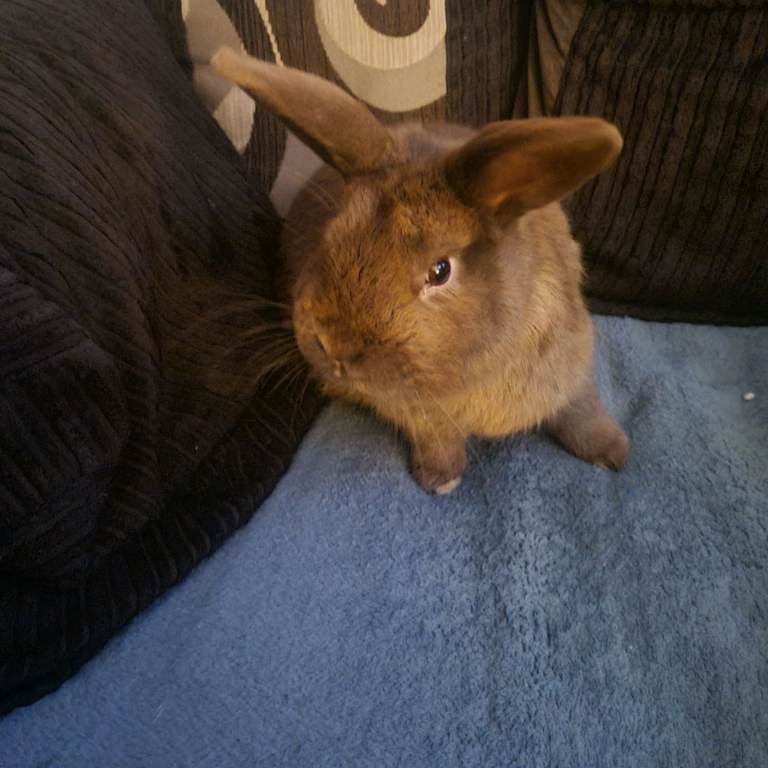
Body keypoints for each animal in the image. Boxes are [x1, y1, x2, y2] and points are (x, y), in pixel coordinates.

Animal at [211, 47, 630, 495]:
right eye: (332, 233)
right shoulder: (420, 417)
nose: (334, 346)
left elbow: (581, 412)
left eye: (440, 271)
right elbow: (439, 441)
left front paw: (613, 454)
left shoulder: (569, 366)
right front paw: (439, 480)